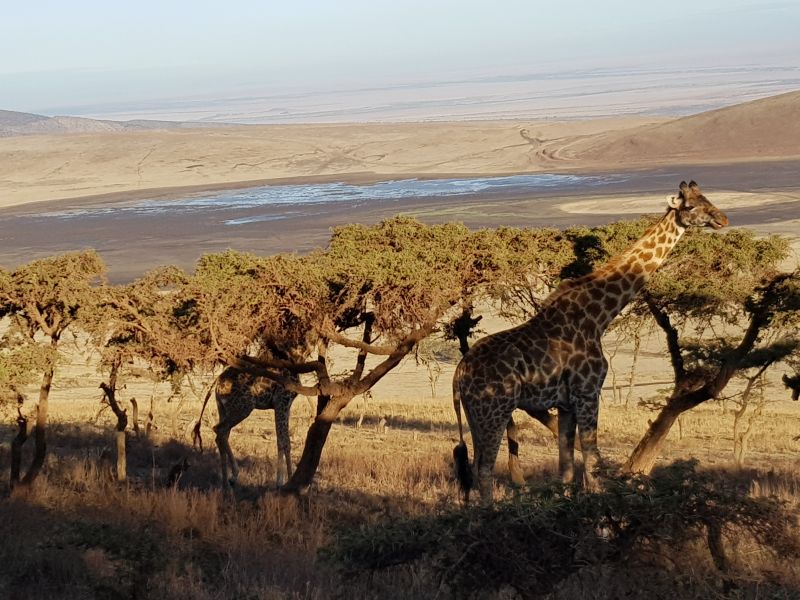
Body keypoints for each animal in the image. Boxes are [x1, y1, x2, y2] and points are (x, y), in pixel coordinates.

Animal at [454, 180, 728, 504]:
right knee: (484, 468)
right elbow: (592, 461)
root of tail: (459, 372)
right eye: (692, 206)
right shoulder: (587, 393)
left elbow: (566, 467)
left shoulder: (565, 403)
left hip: (475, 414)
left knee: (473, 467)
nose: (723, 219)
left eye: (708, 198)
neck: (598, 316)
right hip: (494, 411)